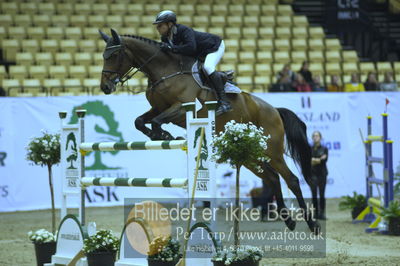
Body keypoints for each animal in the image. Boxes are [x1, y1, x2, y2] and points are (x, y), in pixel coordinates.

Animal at [98, 28, 320, 234]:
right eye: (103, 56)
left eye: (114, 55)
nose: (105, 87)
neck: (164, 70)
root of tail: (274, 110)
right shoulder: (158, 107)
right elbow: (141, 121)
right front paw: (161, 135)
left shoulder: (182, 108)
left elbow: (156, 121)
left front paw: (165, 135)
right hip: (249, 155)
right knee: (272, 178)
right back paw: (289, 220)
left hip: (272, 150)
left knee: (291, 179)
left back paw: (312, 224)